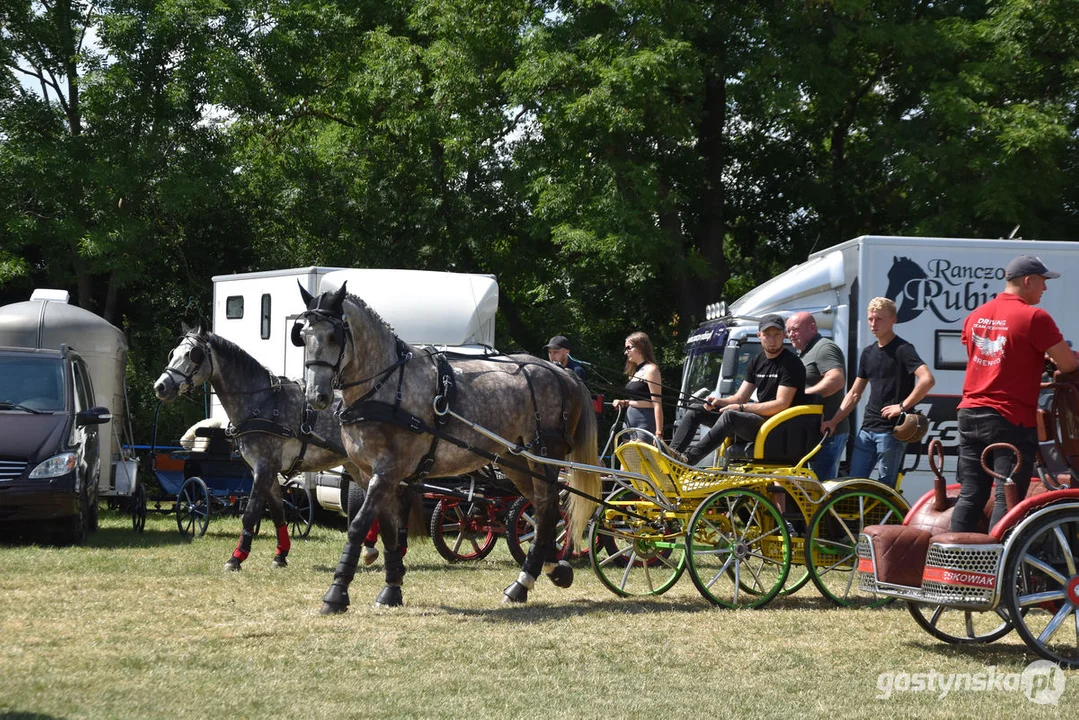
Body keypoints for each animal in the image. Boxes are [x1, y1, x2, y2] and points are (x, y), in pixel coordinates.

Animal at [154, 325, 422, 569]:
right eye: (173, 353)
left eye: (193, 355)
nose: (160, 387)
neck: (261, 402)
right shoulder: (266, 470)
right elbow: (278, 512)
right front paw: (280, 554)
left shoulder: (264, 466)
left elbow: (251, 512)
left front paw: (236, 557)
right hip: (356, 465)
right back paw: (370, 549)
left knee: (398, 499)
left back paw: (396, 548)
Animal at [295, 280, 599, 613]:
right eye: (303, 336)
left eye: (334, 336)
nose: (317, 396)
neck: (385, 387)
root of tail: (561, 372)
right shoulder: (369, 474)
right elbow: (388, 530)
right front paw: (391, 590)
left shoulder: (388, 471)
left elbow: (359, 525)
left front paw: (336, 594)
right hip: (515, 461)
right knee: (547, 509)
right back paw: (553, 567)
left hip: (544, 456)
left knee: (546, 508)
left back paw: (523, 582)